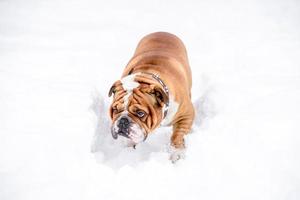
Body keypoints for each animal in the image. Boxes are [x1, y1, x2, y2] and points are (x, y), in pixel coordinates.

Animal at [108, 31, 195, 162]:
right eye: (115, 109)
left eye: (140, 113)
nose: (123, 120)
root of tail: (163, 32)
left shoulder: (186, 115)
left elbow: (178, 134)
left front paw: (176, 153)